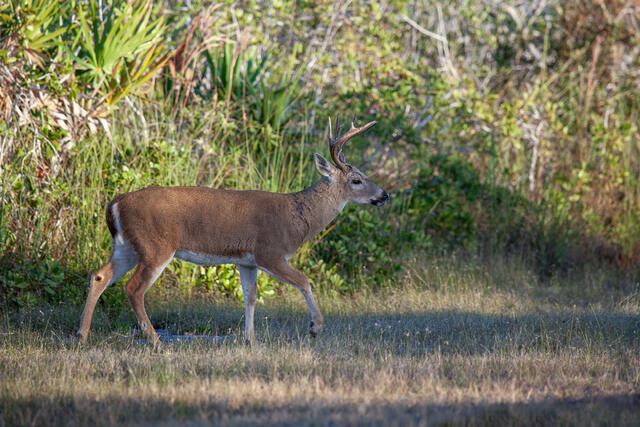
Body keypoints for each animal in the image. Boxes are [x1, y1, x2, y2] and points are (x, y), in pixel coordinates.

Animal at [77, 115, 389, 345]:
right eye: (357, 180)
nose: (384, 195)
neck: (298, 215)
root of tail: (116, 203)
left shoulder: (246, 261)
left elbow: (250, 296)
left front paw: (250, 339)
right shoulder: (270, 252)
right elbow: (304, 280)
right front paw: (315, 327)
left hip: (127, 246)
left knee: (100, 275)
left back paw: (82, 335)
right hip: (156, 247)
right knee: (134, 288)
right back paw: (154, 341)